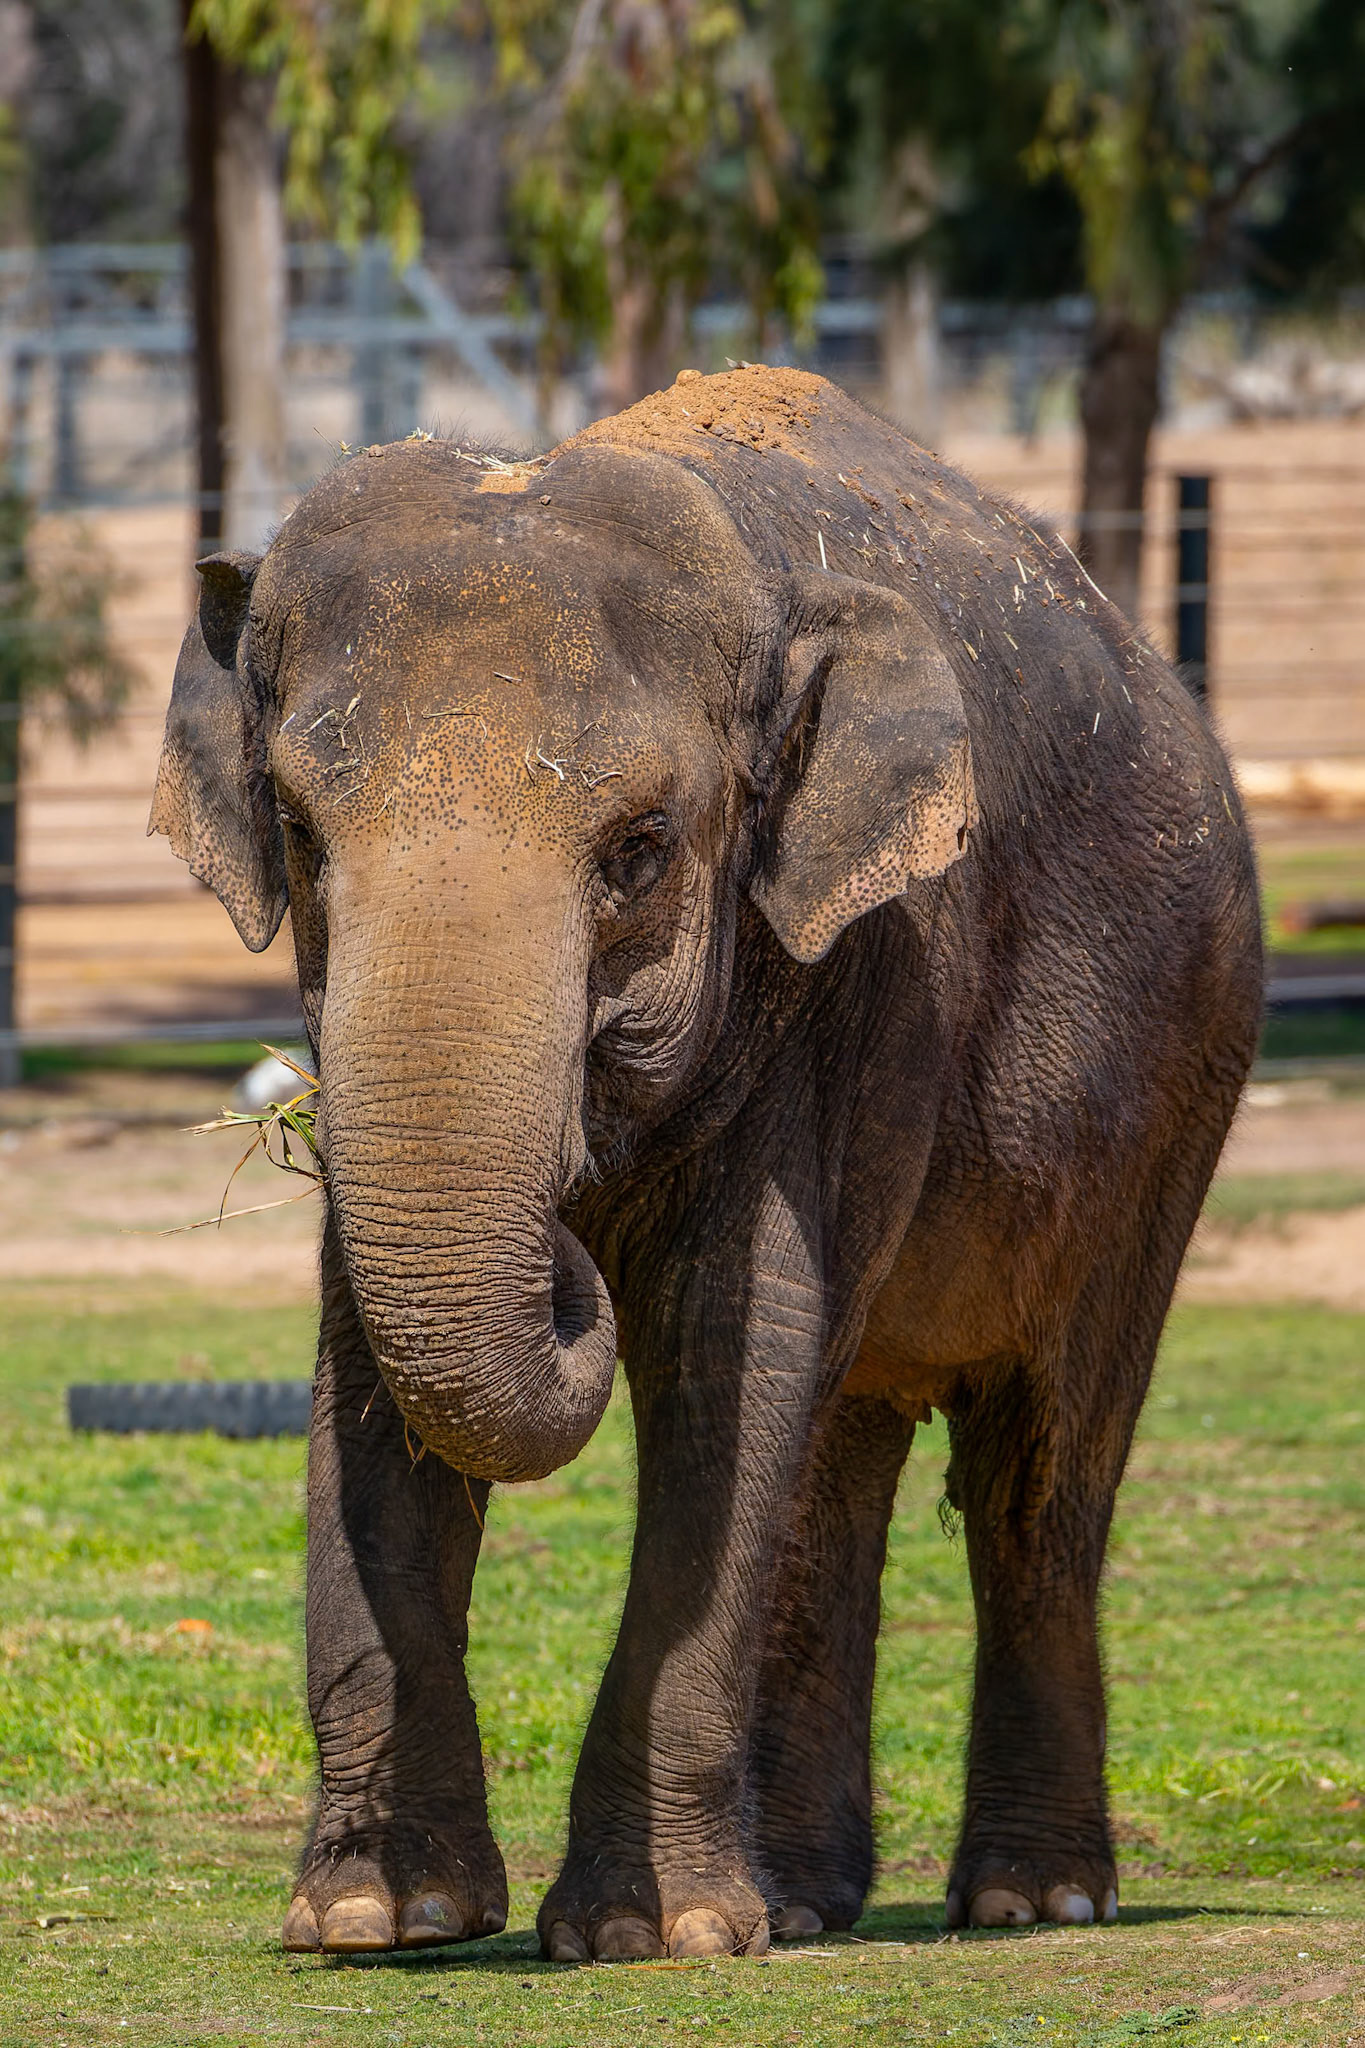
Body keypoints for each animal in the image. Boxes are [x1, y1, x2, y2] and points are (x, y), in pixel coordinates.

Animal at [151, 365, 1261, 1959]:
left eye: (638, 845)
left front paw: (642, 1936)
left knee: (1037, 1471)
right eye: (298, 832)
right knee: (839, 1451)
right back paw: (799, 1902)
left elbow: (733, 1346)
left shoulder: (866, 957)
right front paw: (376, 1919)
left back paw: (1033, 1899)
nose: (570, 1237)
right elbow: (365, 1367)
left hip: (1179, 1084)